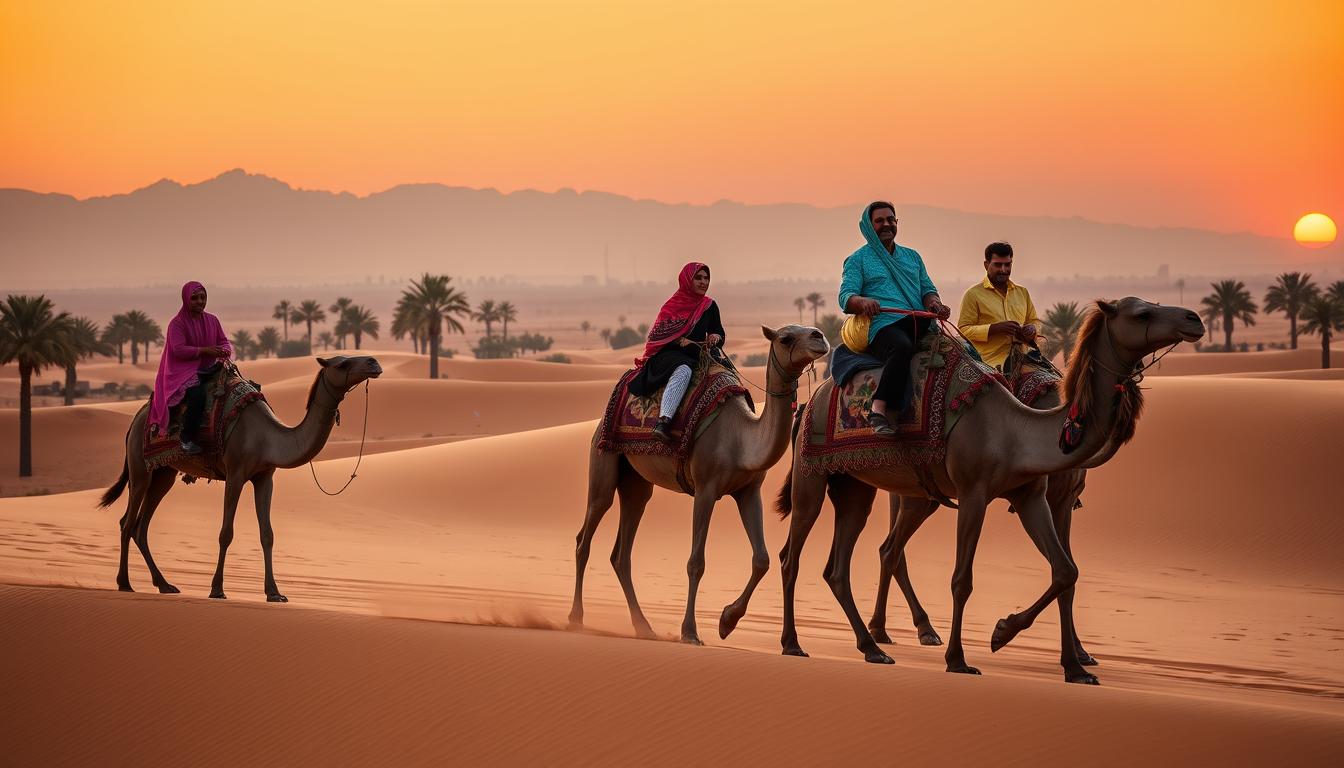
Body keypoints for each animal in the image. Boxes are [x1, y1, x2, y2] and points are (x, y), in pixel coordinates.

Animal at [98, 355, 384, 599]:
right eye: (342, 363)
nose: (374, 362)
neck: (267, 438)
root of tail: (137, 417)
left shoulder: (265, 477)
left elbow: (267, 534)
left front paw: (274, 592)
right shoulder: (235, 474)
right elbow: (226, 532)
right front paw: (217, 589)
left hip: (164, 472)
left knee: (141, 526)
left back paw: (164, 584)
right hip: (140, 467)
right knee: (127, 522)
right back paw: (125, 583)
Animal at [567, 328, 827, 645]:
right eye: (786, 337)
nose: (820, 336)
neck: (741, 438)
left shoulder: (749, 492)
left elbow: (762, 559)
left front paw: (727, 621)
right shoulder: (705, 489)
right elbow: (696, 562)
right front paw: (690, 632)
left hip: (637, 483)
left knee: (622, 552)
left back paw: (644, 626)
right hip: (603, 458)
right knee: (585, 537)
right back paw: (576, 619)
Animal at [768, 299, 1198, 685]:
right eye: (1142, 313)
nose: (1193, 319)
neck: (1016, 429)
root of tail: (811, 400)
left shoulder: (1032, 497)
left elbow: (1066, 570)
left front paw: (1062, 660)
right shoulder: (974, 493)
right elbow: (963, 580)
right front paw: (960, 659)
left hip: (861, 486)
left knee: (846, 563)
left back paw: (873, 647)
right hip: (812, 476)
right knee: (794, 555)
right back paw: (794, 643)